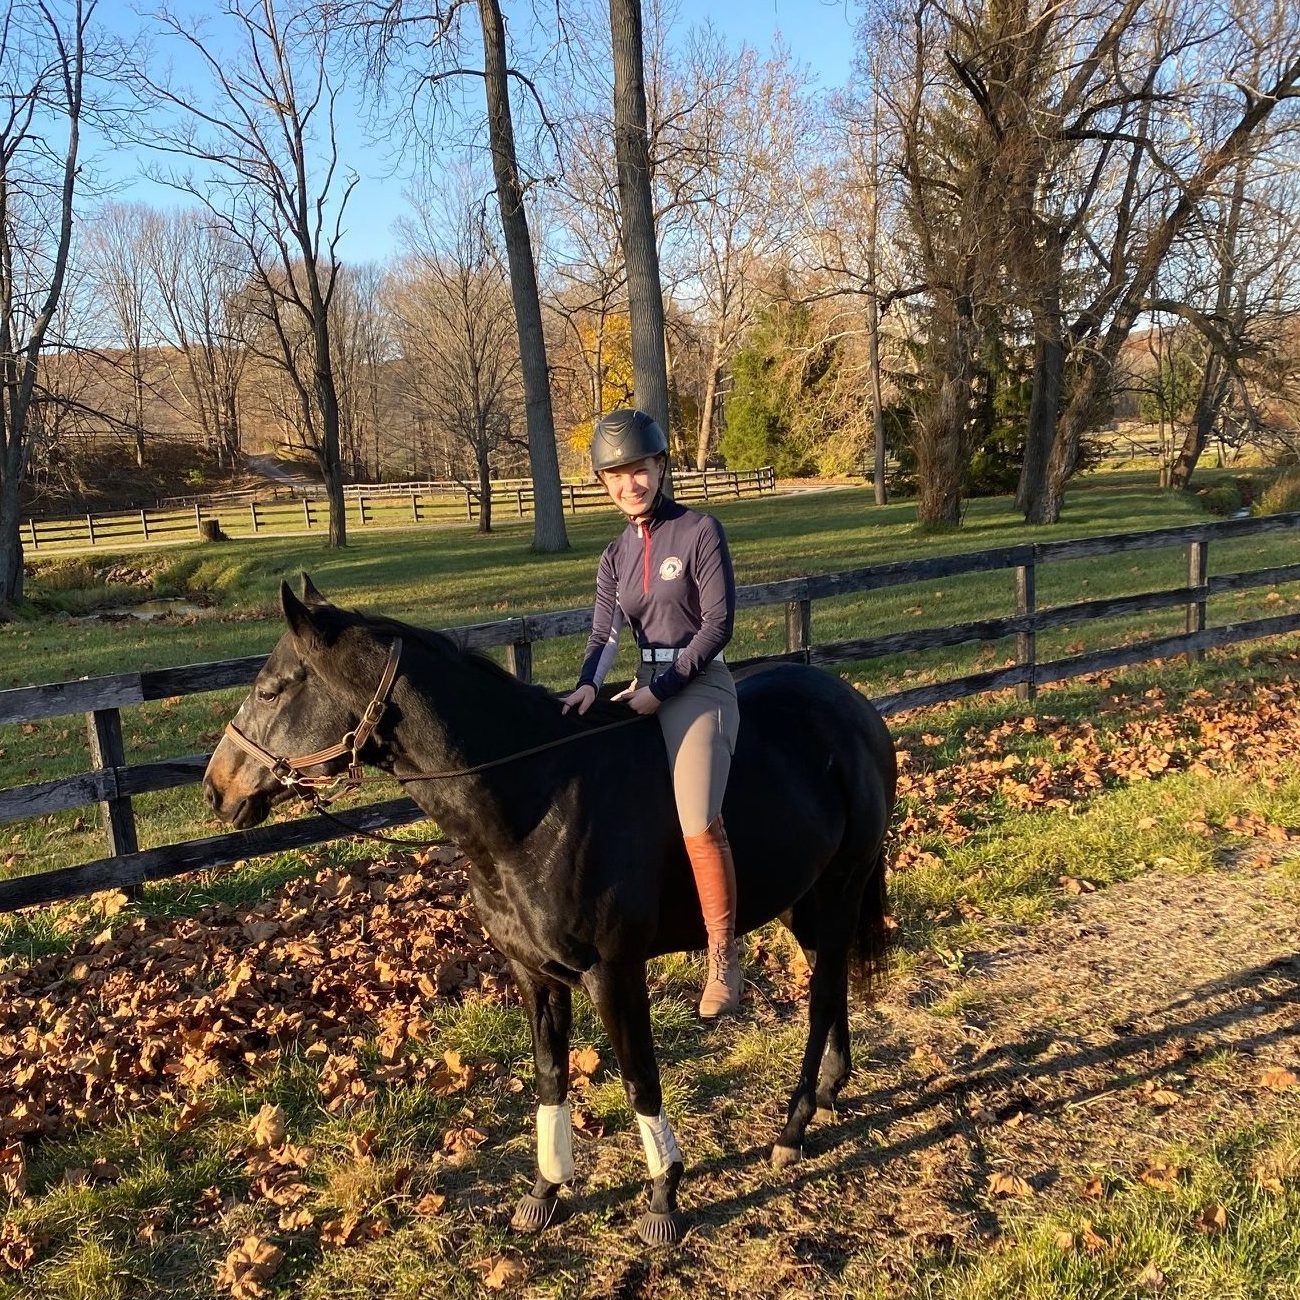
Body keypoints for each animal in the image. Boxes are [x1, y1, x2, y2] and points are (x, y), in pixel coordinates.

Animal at [205, 585, 894, 1242]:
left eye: (270, 690)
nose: (216, 790)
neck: (537, 800)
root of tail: (853, 706)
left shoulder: (614, 973)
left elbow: (640, 1077)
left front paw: (663, 1196)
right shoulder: (535, 975)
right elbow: (549, 1078)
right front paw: (544, 1192)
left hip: (840, 888)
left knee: (823, 995)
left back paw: (794, 1126)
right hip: (801, 901)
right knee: (830, 983)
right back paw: (828, 1092)